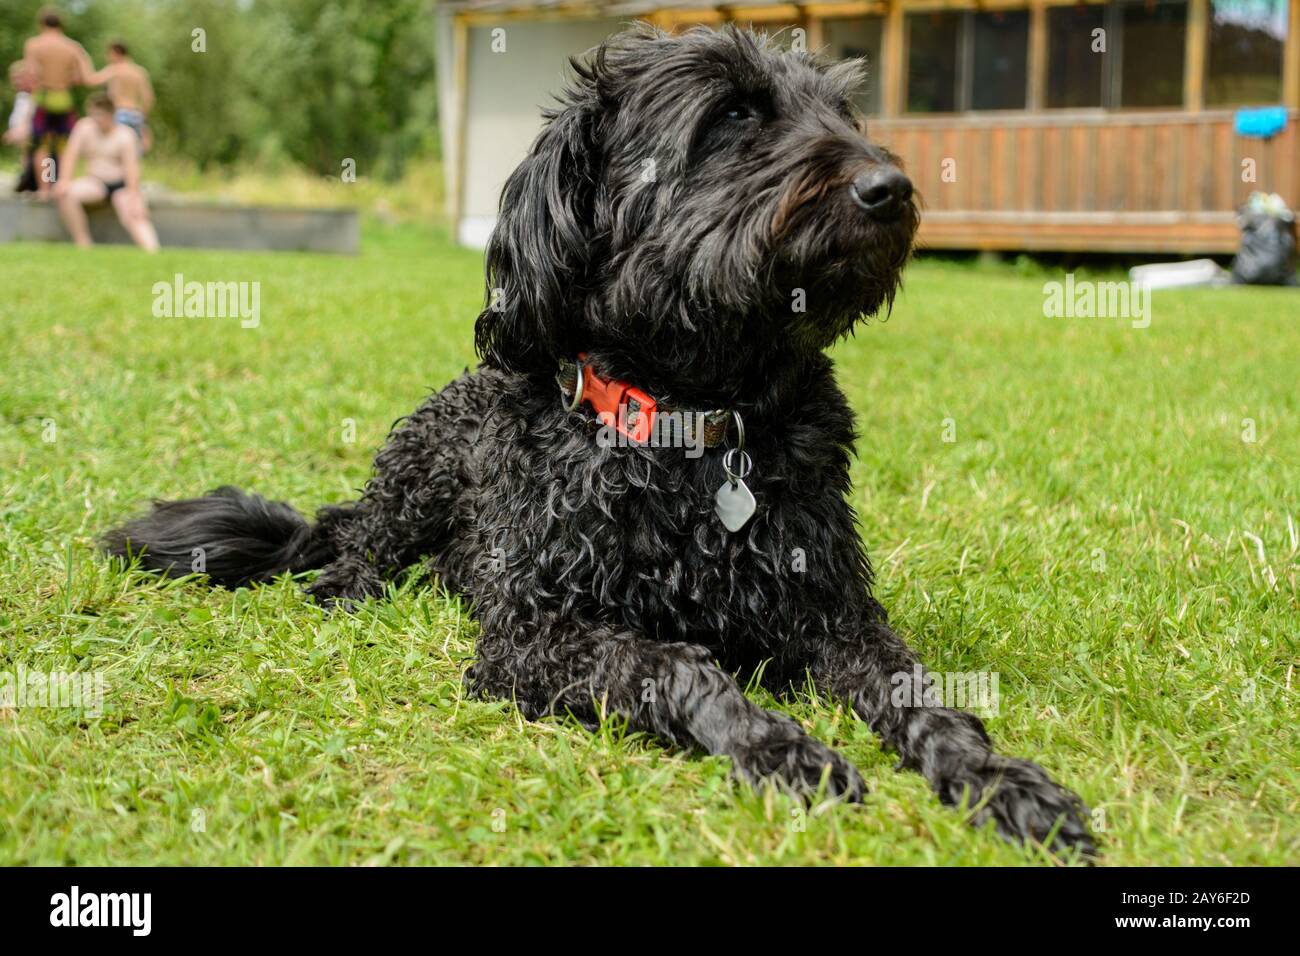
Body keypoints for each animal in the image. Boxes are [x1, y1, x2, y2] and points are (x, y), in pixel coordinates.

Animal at [104, 26, 1097, 858]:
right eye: (733, 115)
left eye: (841, 113)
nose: (887, 190)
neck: (699, 423)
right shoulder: (532, 635)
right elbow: (679, 667)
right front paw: (779, 749)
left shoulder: (836, 616)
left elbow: (923, 696)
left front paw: (1000, 780)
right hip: (415, 480)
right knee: (357, 548)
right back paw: (348, 586)